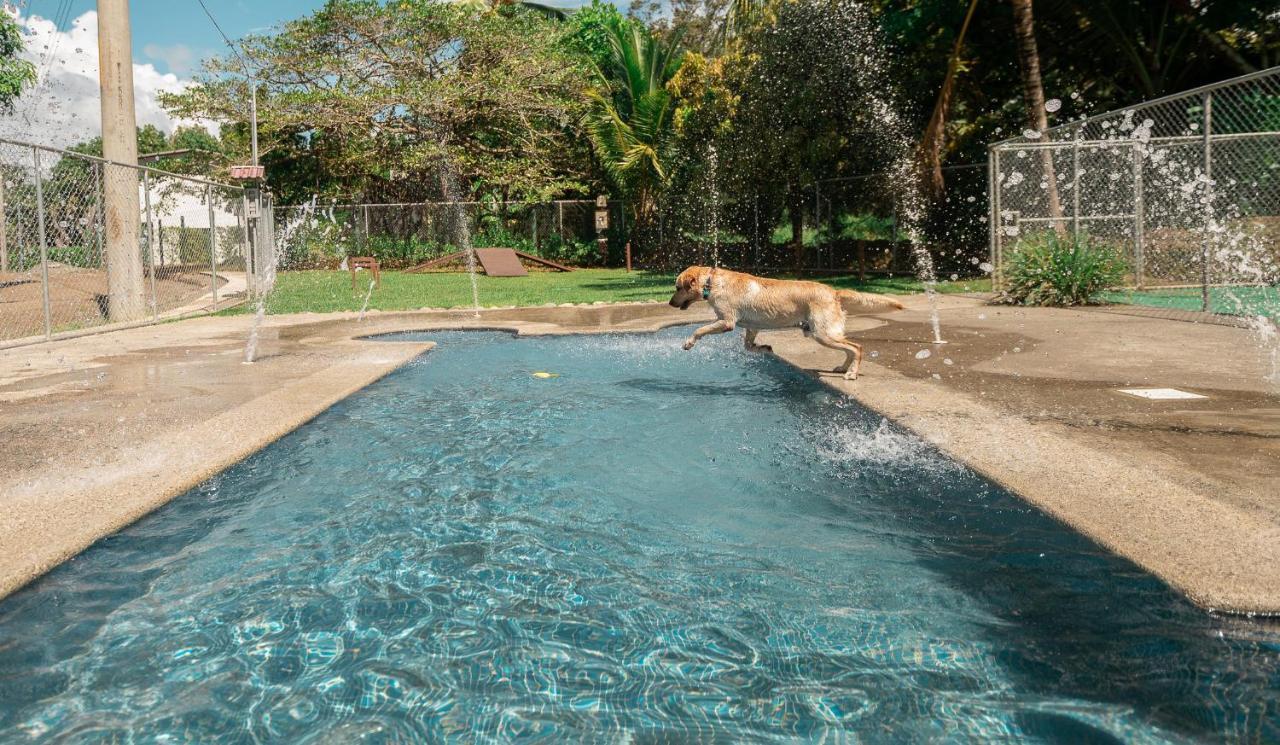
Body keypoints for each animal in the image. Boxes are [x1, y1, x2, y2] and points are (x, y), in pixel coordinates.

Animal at [670, 267, 911, 378]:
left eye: (677, 288)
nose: (670, 303)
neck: (711, 282)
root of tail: (833, 291)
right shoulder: (752, 327)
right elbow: (748, 346)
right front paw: (765, 348)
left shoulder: (726, 321)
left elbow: (700, 329)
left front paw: (688, 343)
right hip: (821, 333)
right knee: (849, 348)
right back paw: (843, 367)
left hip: (822, 334)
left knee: (857, 347)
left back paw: (851, 373)